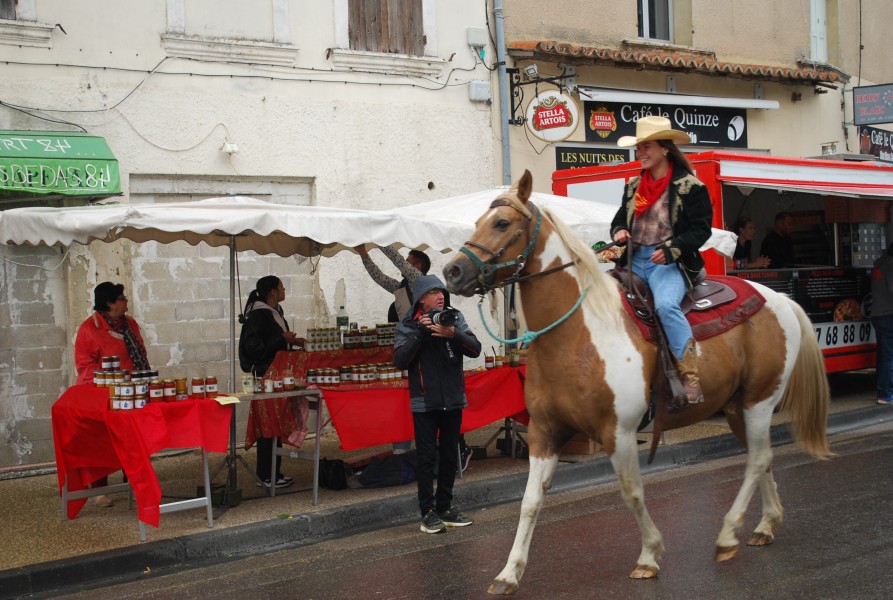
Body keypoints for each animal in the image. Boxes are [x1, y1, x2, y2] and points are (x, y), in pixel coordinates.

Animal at [442, 169, 832, 596]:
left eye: (501, 223)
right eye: (477, 220)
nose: (452, 273)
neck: (576, 333)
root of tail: (779, 299)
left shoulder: (619, 432)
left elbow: (632, 492)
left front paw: (649, 555)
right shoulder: (544, 433)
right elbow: (529, 503)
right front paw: (508, 574)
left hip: (759, 402)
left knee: (758, 459)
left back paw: (728, 536)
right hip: (736, 408)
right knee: (762, 457)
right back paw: (765, 524)